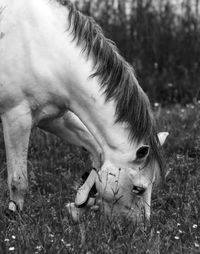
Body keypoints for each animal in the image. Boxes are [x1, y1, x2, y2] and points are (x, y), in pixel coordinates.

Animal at [0, 0, 168, 221]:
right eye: (138, 188)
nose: (142, 225)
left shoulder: (54, 118)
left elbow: (98, 152)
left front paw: (81, 202)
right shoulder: (16, 118)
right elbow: (18, 179)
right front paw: (15, 216)